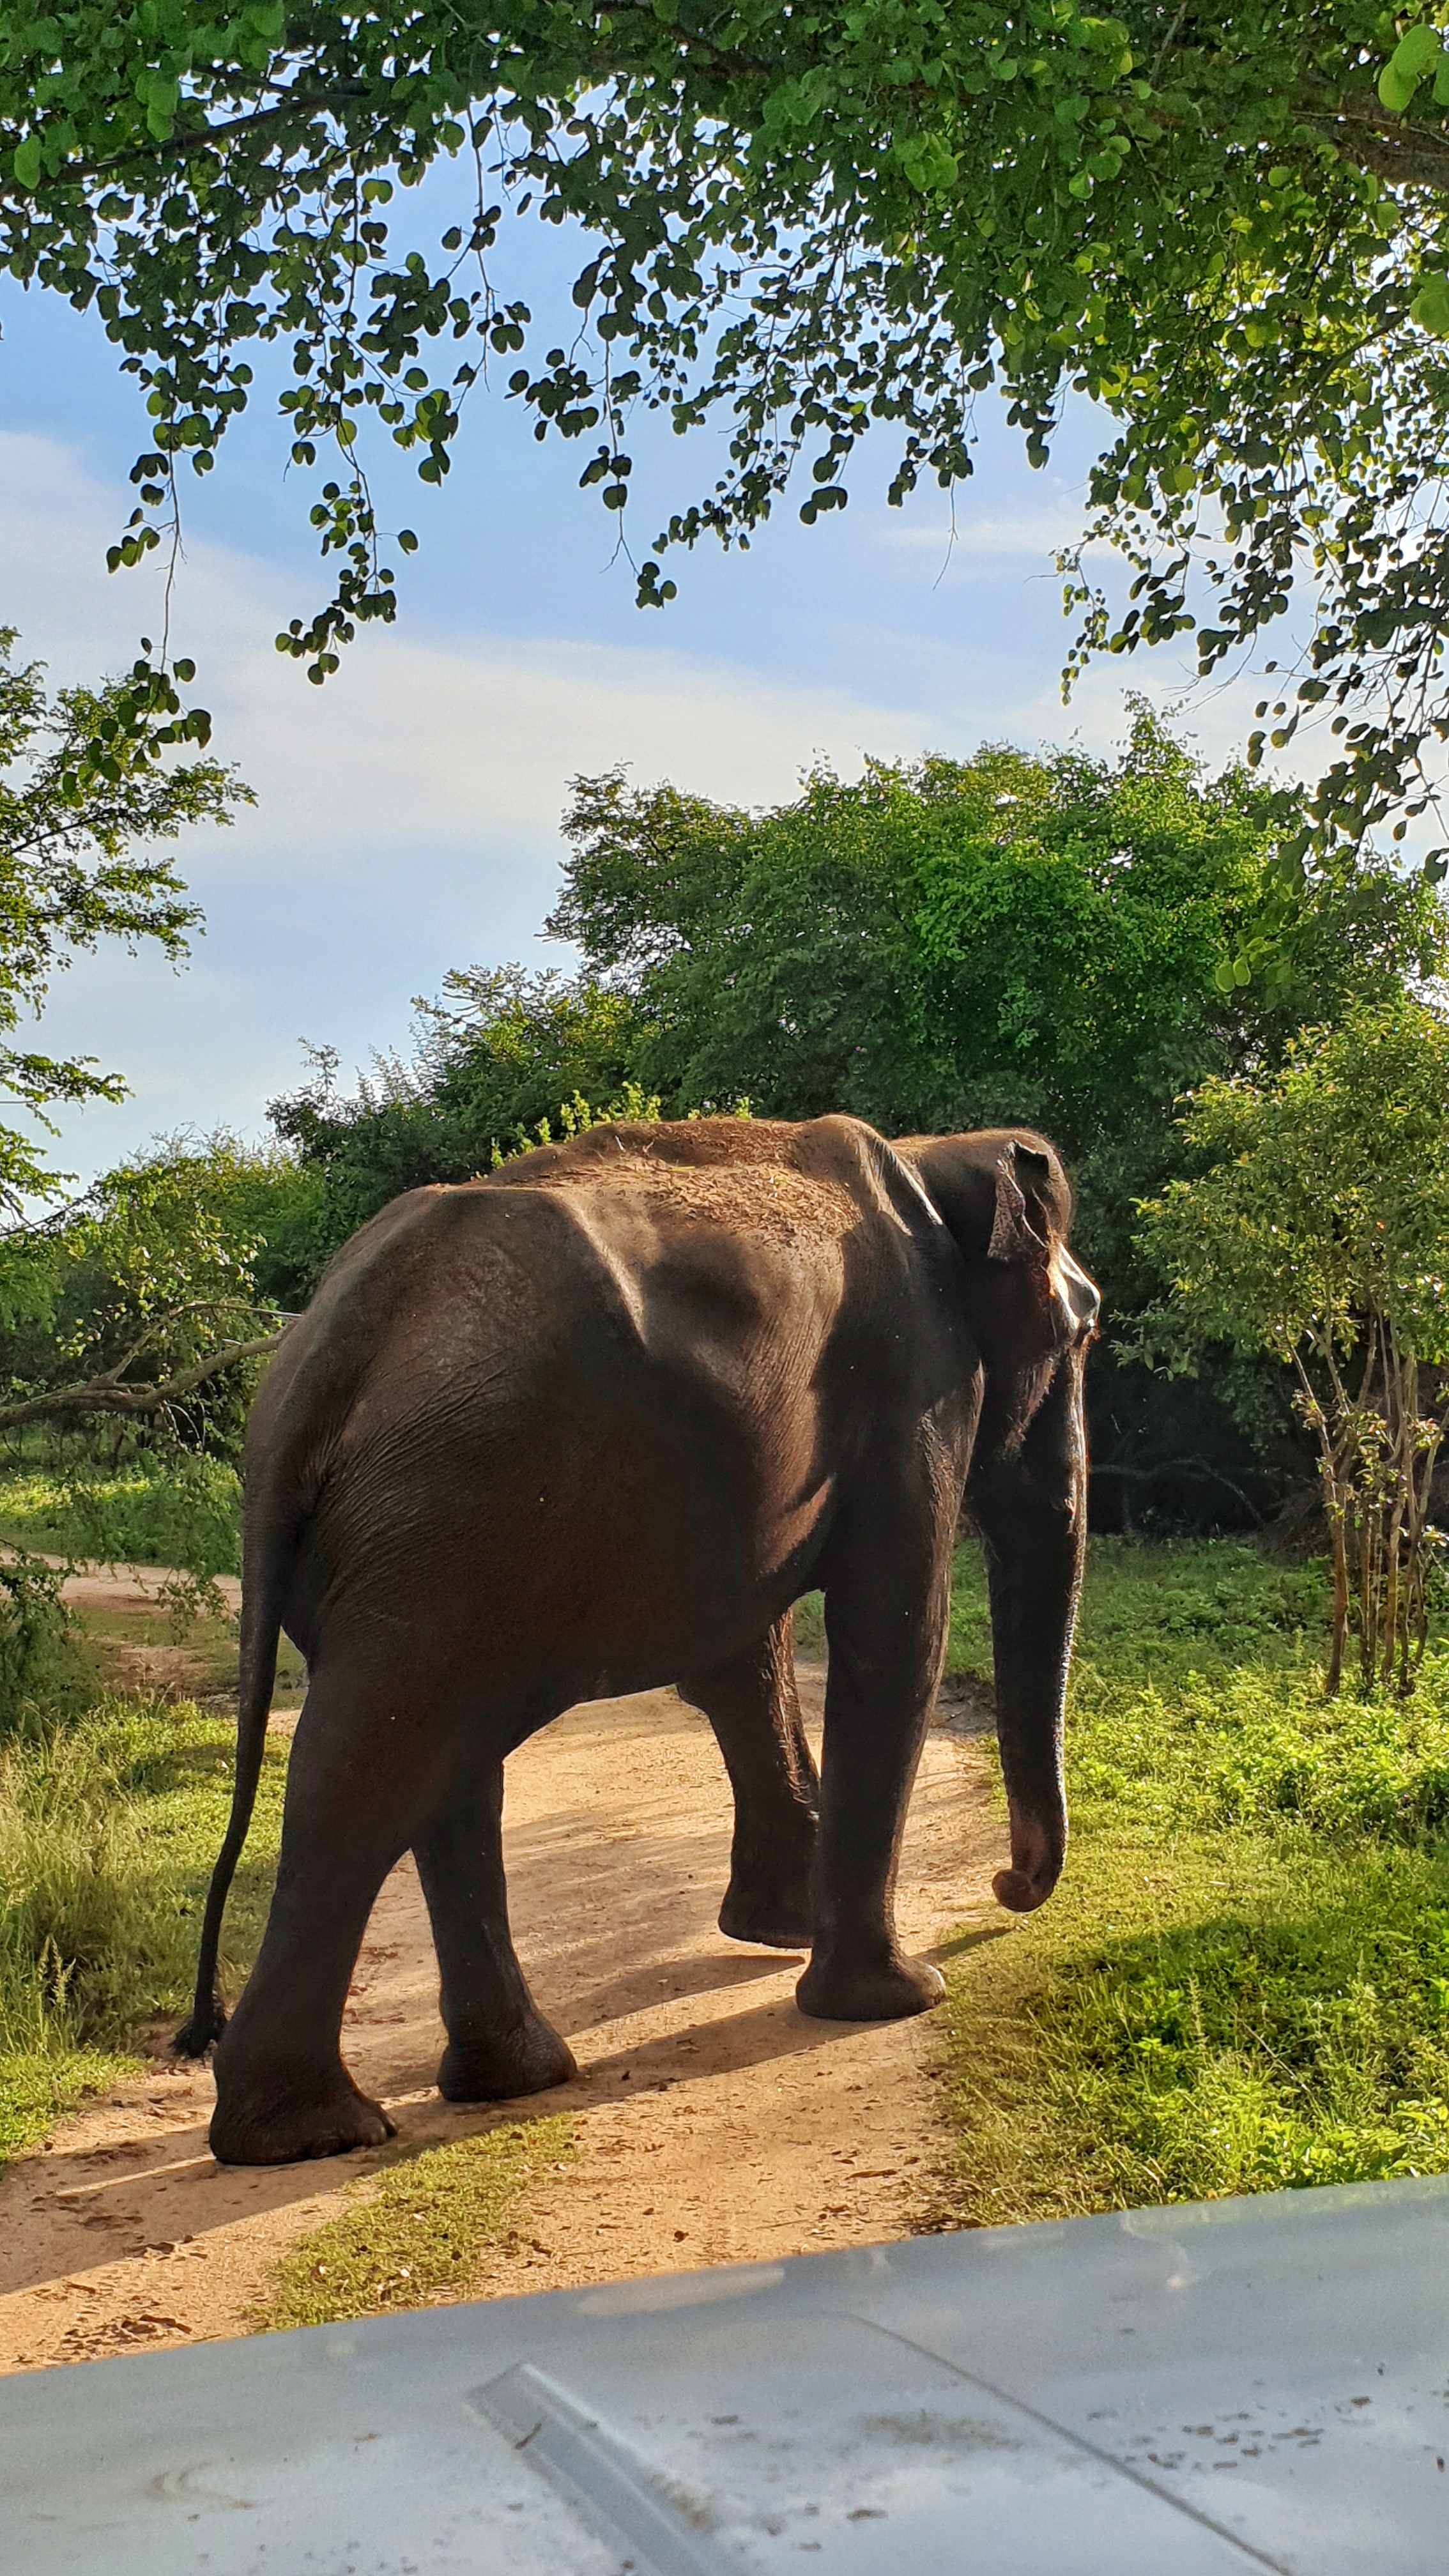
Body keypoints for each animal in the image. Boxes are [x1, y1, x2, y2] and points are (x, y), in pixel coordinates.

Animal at [176, 1113, 1099, 2165]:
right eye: (1084, 1332)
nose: (1006, 1886)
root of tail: (314, 1364)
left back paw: (508, 2080)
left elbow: (747, 1656)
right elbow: (896, 1633)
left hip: (422, 1539)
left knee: (438, 1756)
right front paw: (899, 1999)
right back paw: (314, 2135)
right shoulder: (919, 1380)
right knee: (377, 1761)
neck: (937, 1155)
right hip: (452, 1513)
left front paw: (778, 1936)